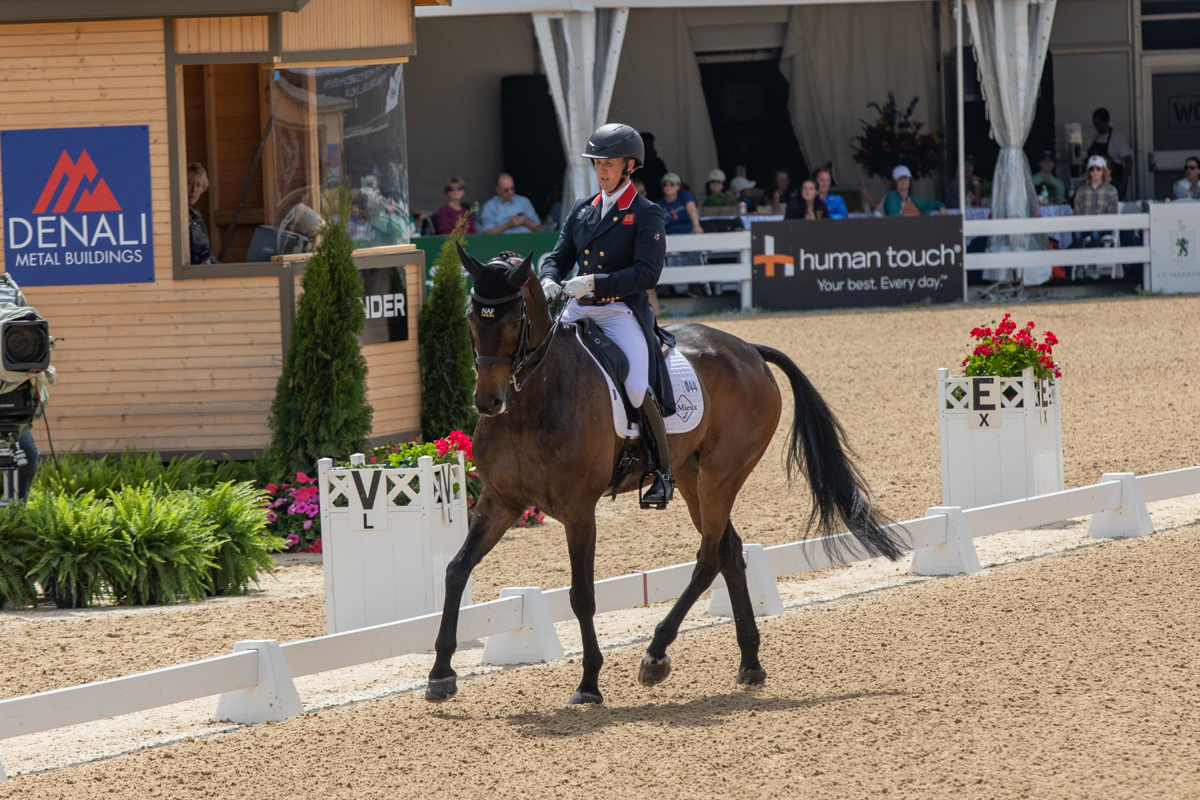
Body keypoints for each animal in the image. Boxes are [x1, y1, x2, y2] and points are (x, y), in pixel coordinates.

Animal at [427, 251, 902, 705]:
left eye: (513, 321)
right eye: (471, 319)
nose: (487, 402)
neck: (534, 400)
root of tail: (749, 349)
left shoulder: (579, 511)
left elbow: (582, 594)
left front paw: (589, 683)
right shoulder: (500, 500)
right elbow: (455, 570)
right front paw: (441, 674)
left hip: (721, 476)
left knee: (708, 558)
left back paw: (656, 655)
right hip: (692, 478)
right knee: (729, 551)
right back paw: (750, 662)